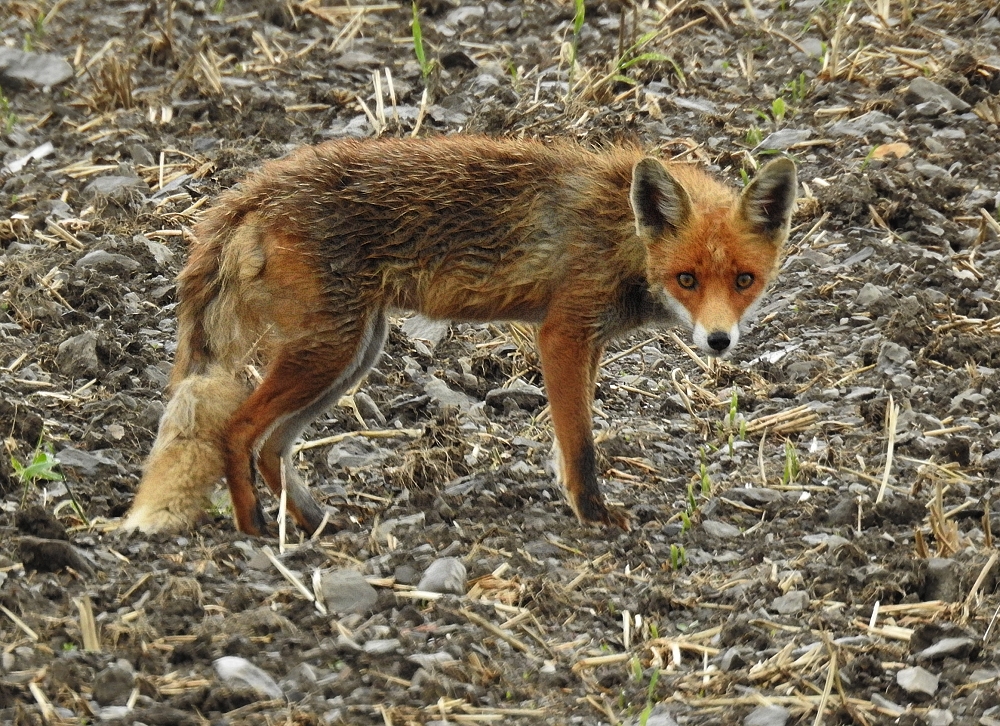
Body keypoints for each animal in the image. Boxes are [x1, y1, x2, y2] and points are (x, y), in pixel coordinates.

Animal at [125, 135, 796, 536]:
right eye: (687, 279)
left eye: (744, 280)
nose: (718, 342)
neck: (623, 235)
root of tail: (258, 186)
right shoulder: (562, 333)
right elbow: (580, 445)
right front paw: (594, 514)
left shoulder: (590, 341)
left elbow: (571, 440)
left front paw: (576, 499)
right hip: (328, 353)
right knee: (236, 431)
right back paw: (253, 528)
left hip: (351, 353)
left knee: (270, 446)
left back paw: (312, 522)